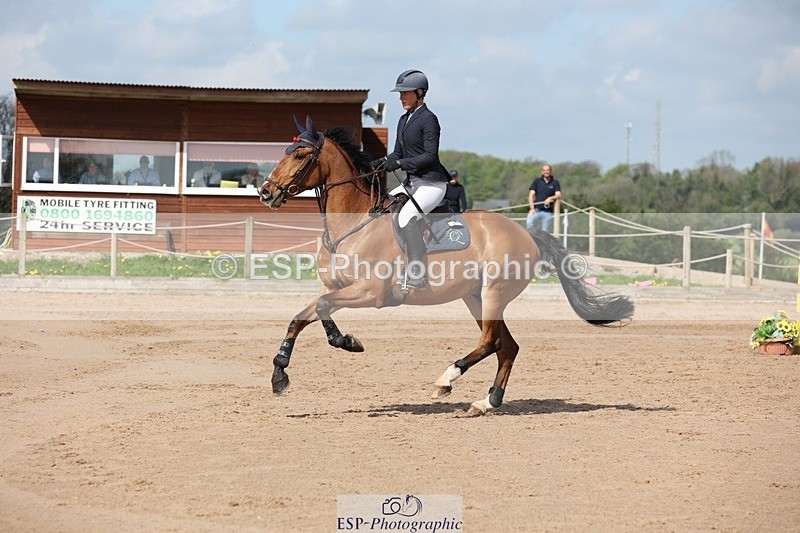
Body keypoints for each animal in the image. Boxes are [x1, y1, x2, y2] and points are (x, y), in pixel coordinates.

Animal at [258, 116, 634, 416]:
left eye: (300, 155)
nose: (265, 192)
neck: (353, 224)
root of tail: (526, 233)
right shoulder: (335, 287)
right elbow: (302, 316)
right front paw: (281, 374)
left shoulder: (370, 292)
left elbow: (322, 308)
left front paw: (346, 341)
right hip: (475, 297)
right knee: (507, 346)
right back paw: (487, 402)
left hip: (493, 292)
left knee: (490, 343)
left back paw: (446, 380)